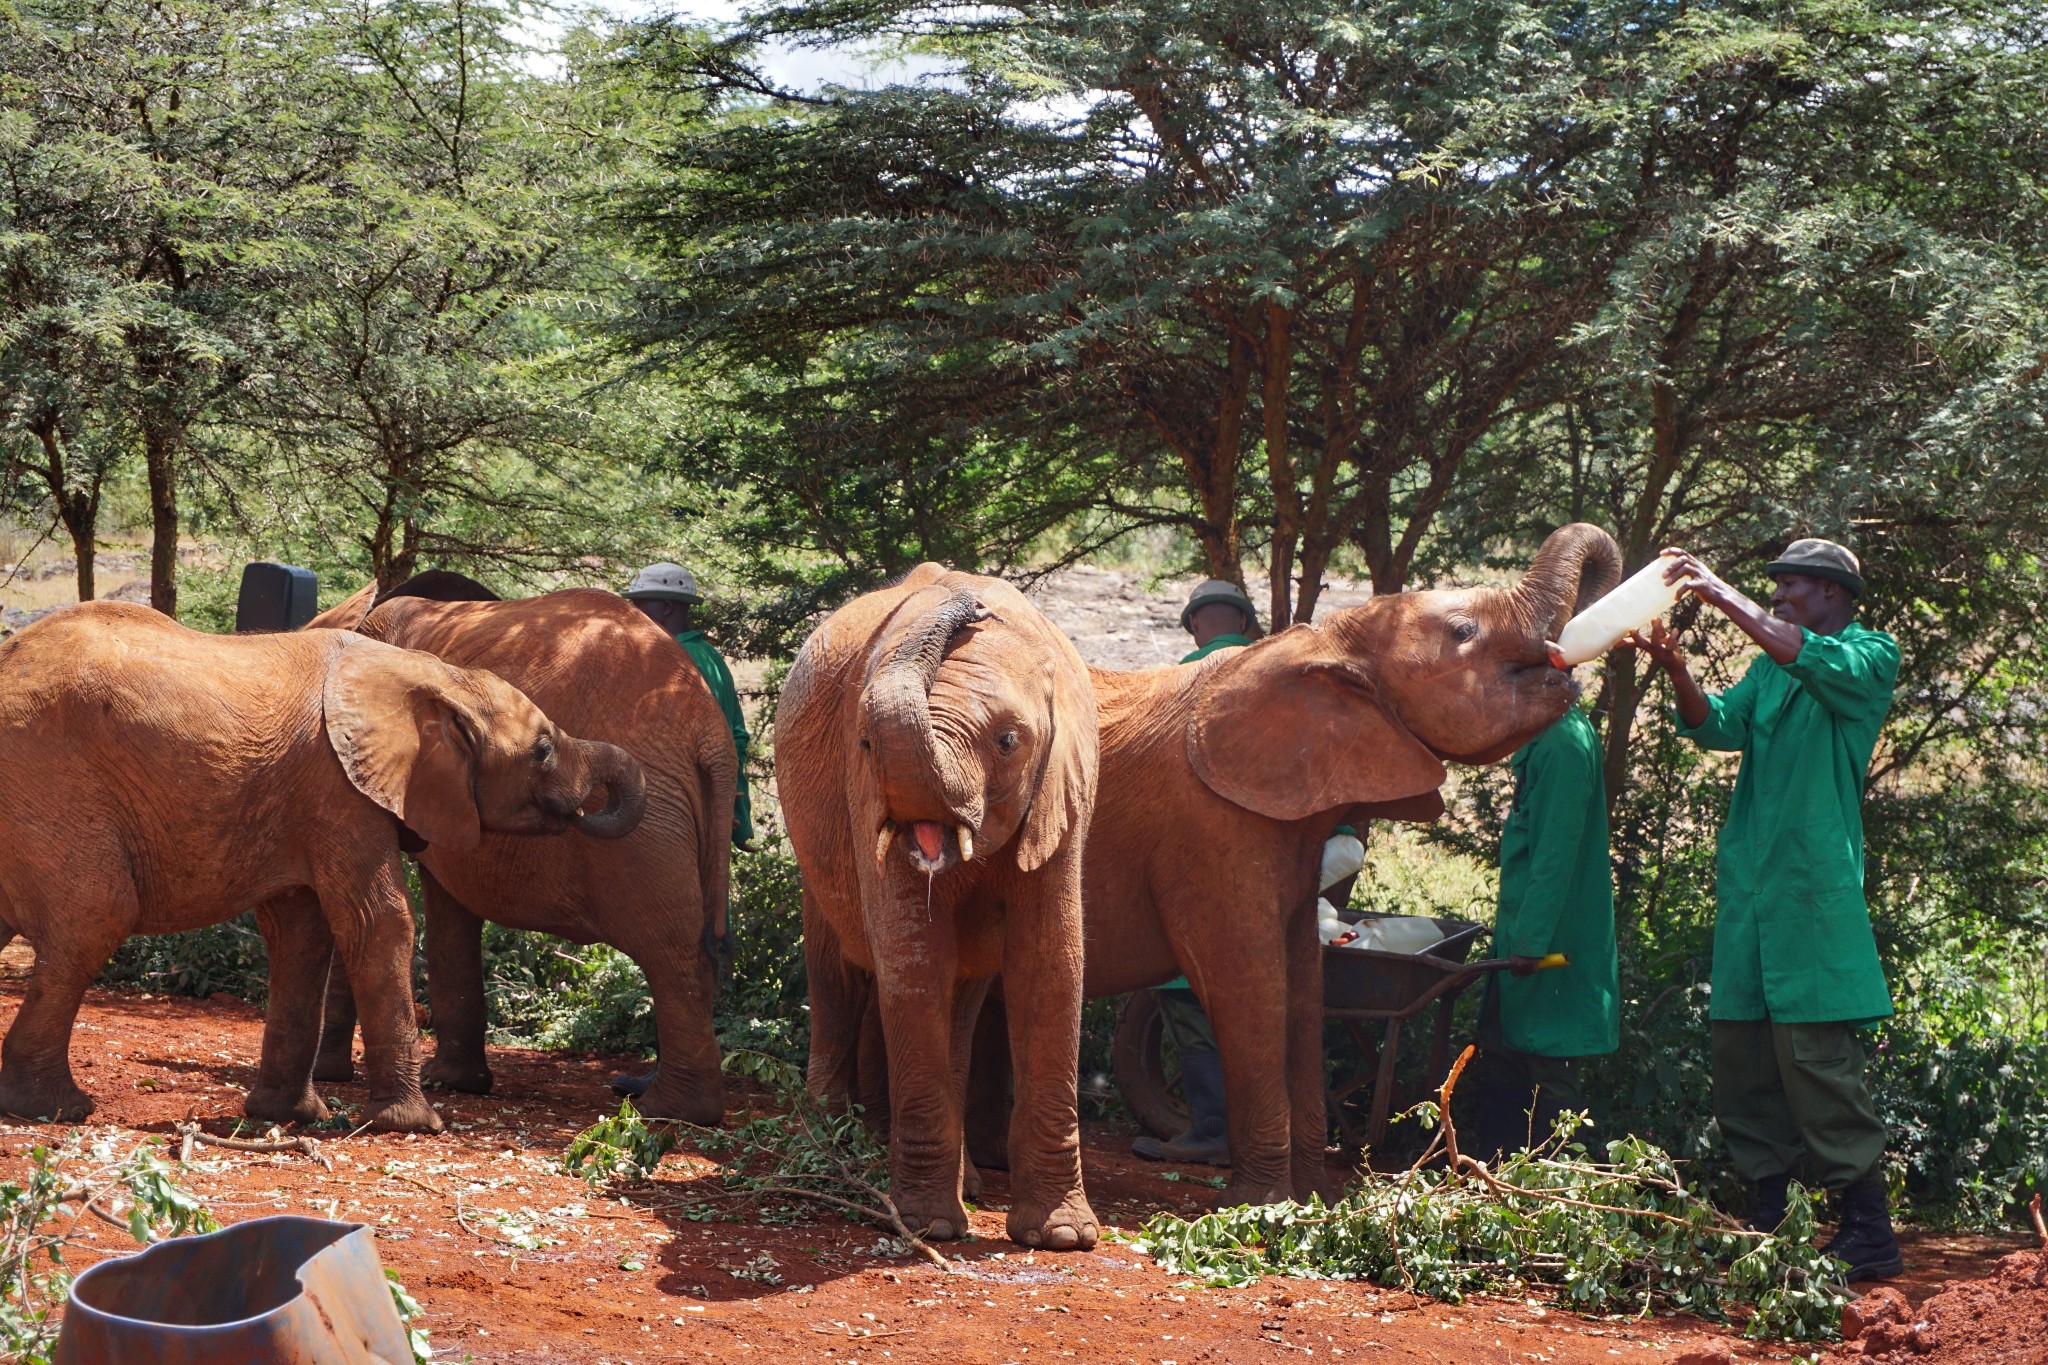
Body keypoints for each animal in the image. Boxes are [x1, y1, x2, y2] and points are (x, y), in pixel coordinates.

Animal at [0, 601, 643, 1129]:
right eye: (543, 750)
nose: (581, 813)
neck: (432, 673)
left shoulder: (304, 800)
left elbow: (302, 935)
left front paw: (288, 1116)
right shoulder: (338, 789)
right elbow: (378, 922)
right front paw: (413, 1124)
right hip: (48, 787)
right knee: (96, 914)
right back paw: (55, 1109)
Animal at [307, 573, 741, 1129]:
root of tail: (710, 733)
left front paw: (333, 1076)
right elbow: (450, 903)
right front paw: (455, 1083)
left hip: (649, 834)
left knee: (670, 948)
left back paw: (667, 1110)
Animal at [782, 564, 1105, 1252]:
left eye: (1008, 741)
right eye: (866, 743)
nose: (969, 603)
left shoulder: (1064, 794)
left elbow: (1050, 965)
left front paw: (1063, 1237)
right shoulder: (862, 796)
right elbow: (915, 961)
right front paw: (928, 1225)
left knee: (961, 998)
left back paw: (965, 1184)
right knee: (835, 977)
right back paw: (825, 1158)